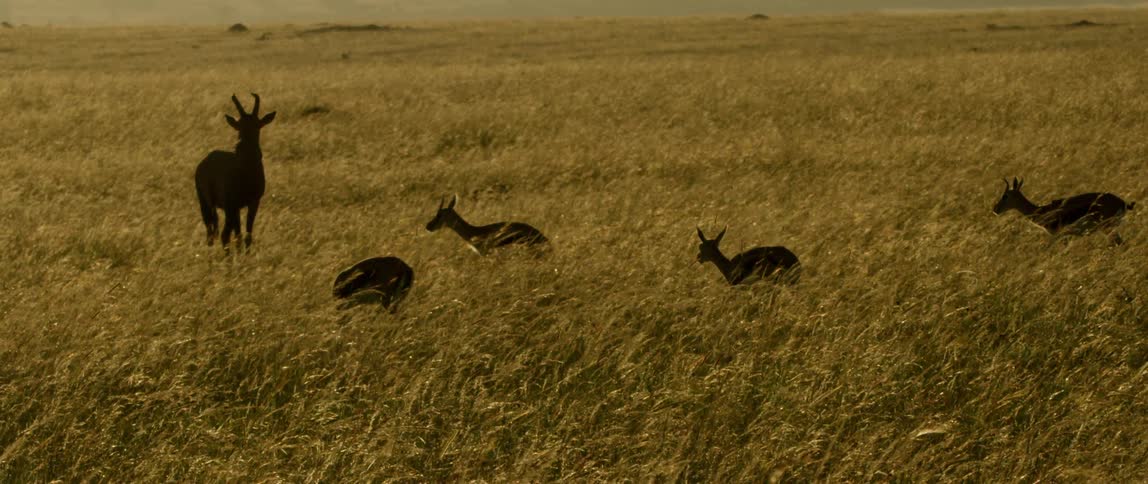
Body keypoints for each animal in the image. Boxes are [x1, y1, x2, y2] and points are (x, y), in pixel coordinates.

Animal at [194, 93, 276, 252]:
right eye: (241, 126)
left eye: (257, 125)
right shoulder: (234, 204)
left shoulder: (252, 202)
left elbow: (245, 235)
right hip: (208, 203)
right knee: (219, 234)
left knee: (221, 232)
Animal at [993, 178, 1135, 245]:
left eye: (1005, 196)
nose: (995, 210)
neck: (1042, 211)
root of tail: (1122, 202)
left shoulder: (1058, 236)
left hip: (1107, 228)